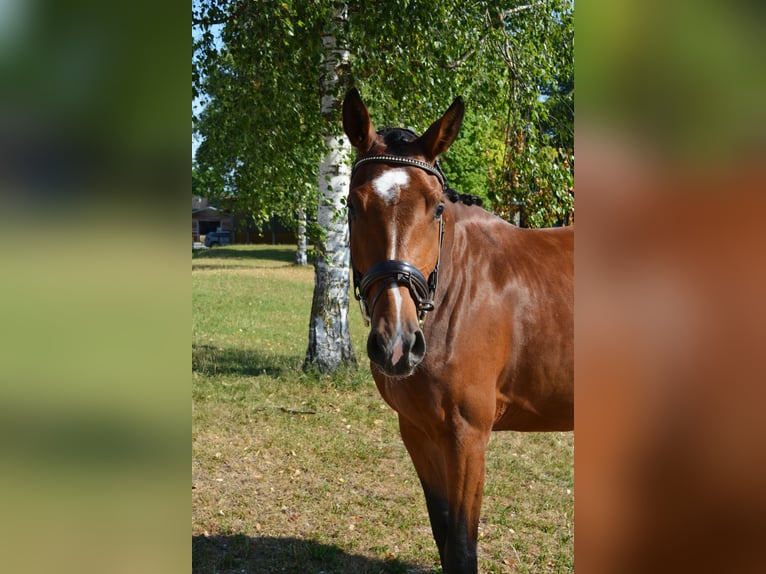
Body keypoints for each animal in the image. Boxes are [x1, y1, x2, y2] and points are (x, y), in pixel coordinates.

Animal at [342, 87, 574, 574]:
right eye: (353, 204)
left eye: (436, 208)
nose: (397, 345)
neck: (456, 295)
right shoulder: (418, 431)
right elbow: (443, 535)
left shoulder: (468, 437)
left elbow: (462, 547)